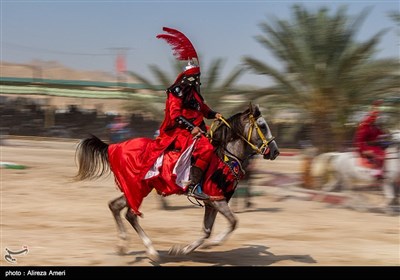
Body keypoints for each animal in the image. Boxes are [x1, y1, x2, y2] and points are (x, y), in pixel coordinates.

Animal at [76, 104, 282, 262]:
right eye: (263, 126)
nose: (275, 151)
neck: (225, 156)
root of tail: (114, 146)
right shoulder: (216, 199)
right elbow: (233, 222)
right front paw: (214, 243)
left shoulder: (212, 202)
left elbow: (206, 231)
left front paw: (181, 250)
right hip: (138, 188)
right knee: (130, 214)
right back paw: (151, 251)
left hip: (135, 188)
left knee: (115, 206)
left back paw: (122, 246)